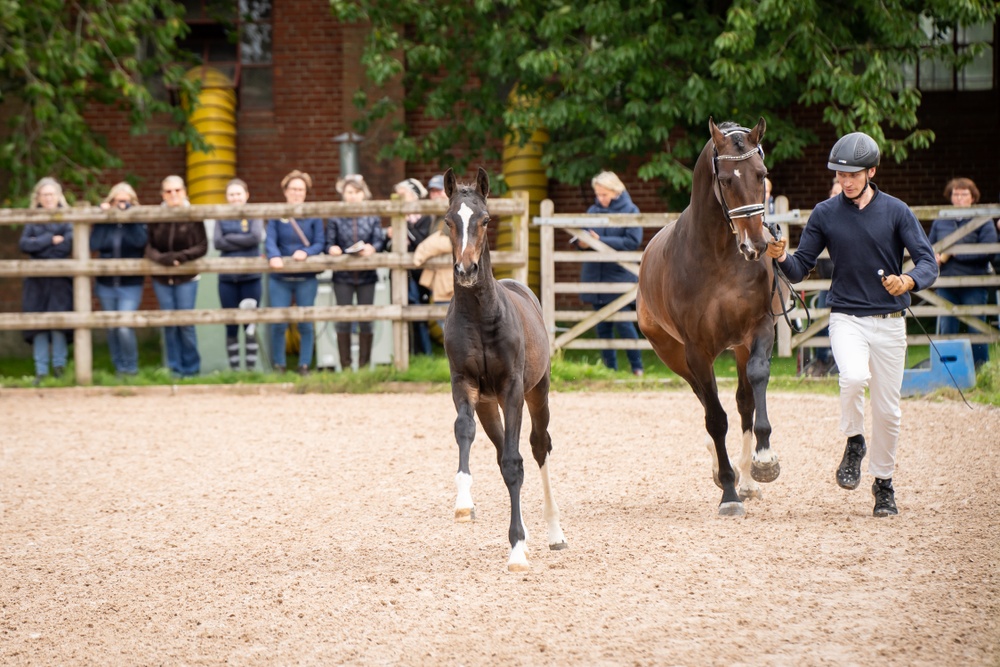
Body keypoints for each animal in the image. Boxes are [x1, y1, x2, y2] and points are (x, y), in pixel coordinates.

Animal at [442, 168, 568, 576]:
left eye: (485, 219)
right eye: (449, 220)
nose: (466, 271)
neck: (482, 317)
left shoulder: (512, 389)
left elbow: (516, 463)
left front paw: (517, 551)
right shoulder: (464, 385)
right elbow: (465, 433)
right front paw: (464, 504)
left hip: (537, 393)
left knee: (538, 447)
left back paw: (554, 533)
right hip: (488, 404)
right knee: (502, 453)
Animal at [636, 117, 784, 520]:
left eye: (762, 174)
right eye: (727, 180)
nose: (756, 246)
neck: (719, 256)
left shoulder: (758, 330)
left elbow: (756, 384)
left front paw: (764, 462)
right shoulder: (697, 350)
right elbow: (715, 418)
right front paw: (729, 493)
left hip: (737, 348)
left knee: (742, 401)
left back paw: (747, 478)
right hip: (674, 356)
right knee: (705, 400)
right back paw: (723, 472)